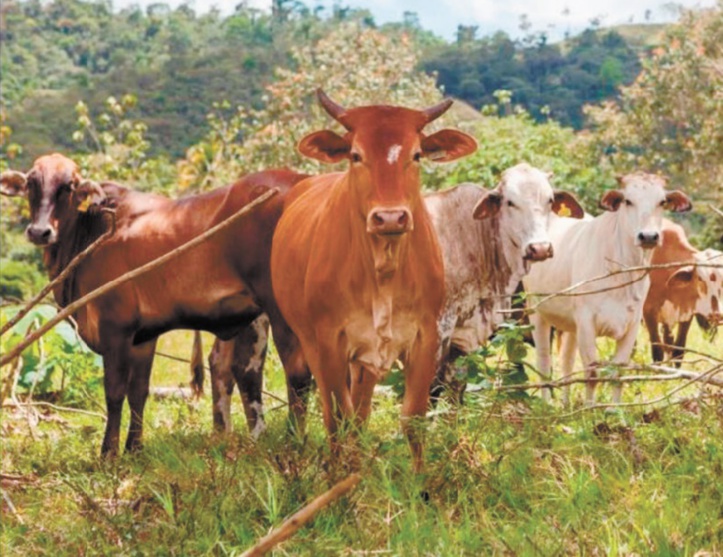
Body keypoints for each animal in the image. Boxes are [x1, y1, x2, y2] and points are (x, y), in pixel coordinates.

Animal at [0, 155, 312, 456]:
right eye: (31, 183)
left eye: (69, 186)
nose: (40, 232)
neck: (90, 233)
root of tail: (302, 182)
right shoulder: (144, 337)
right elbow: (139, 392)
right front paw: (135, 449)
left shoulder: (115, 326)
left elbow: (114, 392)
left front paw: (108, 453)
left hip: (281, 311)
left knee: (297, 373)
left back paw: (294, 444)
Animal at [268, 90, 478, 470]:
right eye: (356, 155)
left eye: (416, 155)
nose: (390, 217)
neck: (384, 269)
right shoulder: (329, 341)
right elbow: (337, 417)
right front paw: (338, 480)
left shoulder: (425, 336)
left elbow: (413, 419)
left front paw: (419, 479)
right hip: (304, 341)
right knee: (324, 403)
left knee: (360, 412)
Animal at [524, 173, 692, 404]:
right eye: (628, 201)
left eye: (662, 202)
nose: (649, 236)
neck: (621, 272)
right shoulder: (586, 322)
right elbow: (592, 373)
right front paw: (589, 408)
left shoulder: (631, 325)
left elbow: (618, 373)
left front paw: (613, 409)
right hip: (536, 311)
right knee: (543, 361)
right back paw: (547, 403)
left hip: (570, 324)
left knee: (567, 361)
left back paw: (566, 405)